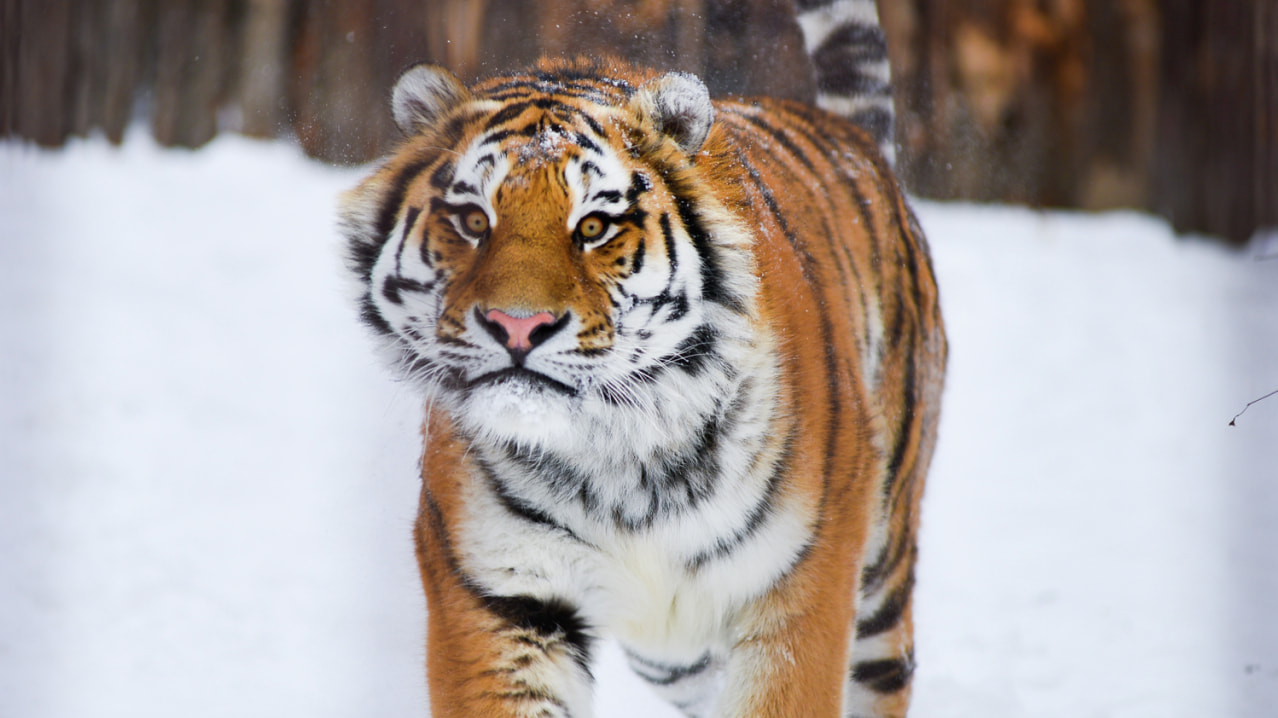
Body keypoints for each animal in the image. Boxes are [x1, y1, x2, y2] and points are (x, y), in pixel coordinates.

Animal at [342, 2, 950, 710]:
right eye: (472, 221)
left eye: (593, 227)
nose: (517, 326)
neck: (621, 454)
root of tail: (852, 139)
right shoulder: (501, 594)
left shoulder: (801, 584)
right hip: (675, 658)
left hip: (880, 580)